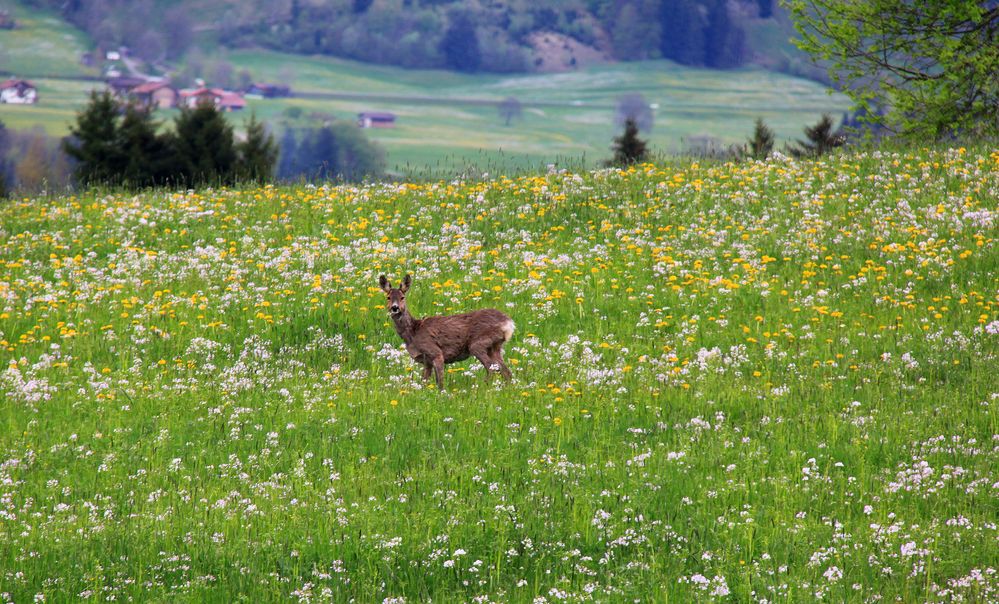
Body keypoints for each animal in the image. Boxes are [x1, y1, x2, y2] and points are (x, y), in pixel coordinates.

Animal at [376, 274, 516, 390]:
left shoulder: (436, 352)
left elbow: (440, 382)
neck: (413, 333)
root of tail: (509, 323)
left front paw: (441, 395)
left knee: (492, 369)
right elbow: (424, 382)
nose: (395, 308)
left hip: (478, 343)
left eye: (402, 297)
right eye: (388, 297)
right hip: (494, 347)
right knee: (506, 372)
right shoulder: (426, 361)